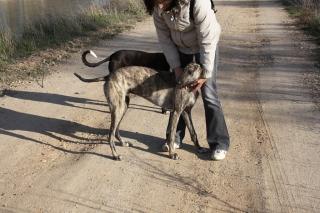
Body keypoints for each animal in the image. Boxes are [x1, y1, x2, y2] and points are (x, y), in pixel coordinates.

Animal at [74, 62, 205, 160]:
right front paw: (172, 154)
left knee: (115, 131)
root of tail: (109, 76)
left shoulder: (185, 112)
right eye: (186, 70)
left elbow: (193, 133)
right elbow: (172, 135)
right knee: (110, 135)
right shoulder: (177, 112)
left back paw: (123, 143)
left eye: (193, 70)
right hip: (118, 109)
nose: (178, 83)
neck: (190, 86)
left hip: (123, 107)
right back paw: (115, 155)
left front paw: (199, 148)